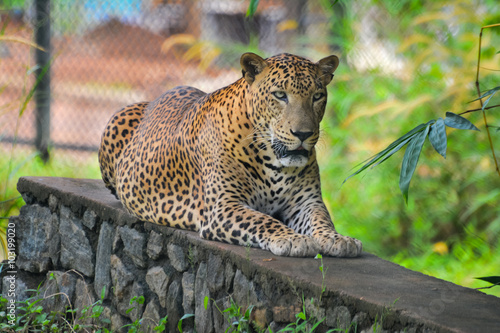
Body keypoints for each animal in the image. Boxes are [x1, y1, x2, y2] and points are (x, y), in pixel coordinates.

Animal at [99, 52, 362, 256]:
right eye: (280, 95)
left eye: (317, 96)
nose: (303, 134)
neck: (274, 161)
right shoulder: (224, 206)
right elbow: (263, 220)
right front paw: (292, 238)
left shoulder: (306, 202)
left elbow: (321, 219)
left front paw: (339, 239)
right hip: (116, 119)